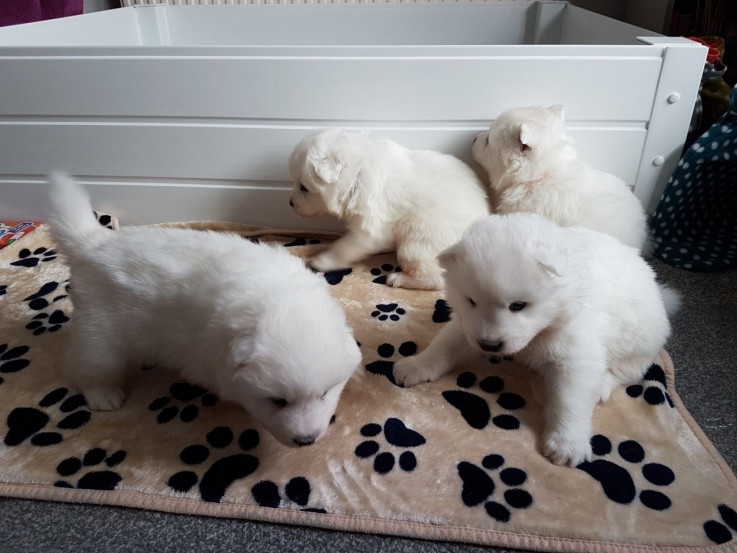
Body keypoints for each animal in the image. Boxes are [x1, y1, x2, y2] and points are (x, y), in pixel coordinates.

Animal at [44, 172, 360, 448]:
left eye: (325, 393)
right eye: (278, 401)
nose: (306, 441)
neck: (280, 301)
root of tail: (95, 242)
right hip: (101, 332)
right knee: (87, 365)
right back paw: (103, 395)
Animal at [288, 128, 488, 288]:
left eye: (304, 188)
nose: (290, 203)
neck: (357, 174)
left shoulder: (369, 229)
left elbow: (344, 246)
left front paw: (321, 261)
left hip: (419, 242)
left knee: (435, 278)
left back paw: (398, 278)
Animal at [396, 211, 680, 466]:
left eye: (518, 305)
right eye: (471, 300)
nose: (490, 345)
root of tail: (658, 293)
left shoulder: (577, 350)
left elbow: (570, 397)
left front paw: (567, 444)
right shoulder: (468, 326)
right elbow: (445, 345)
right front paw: (414, 365)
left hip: (641, 341)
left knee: (626, 372)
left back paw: (601, 386)